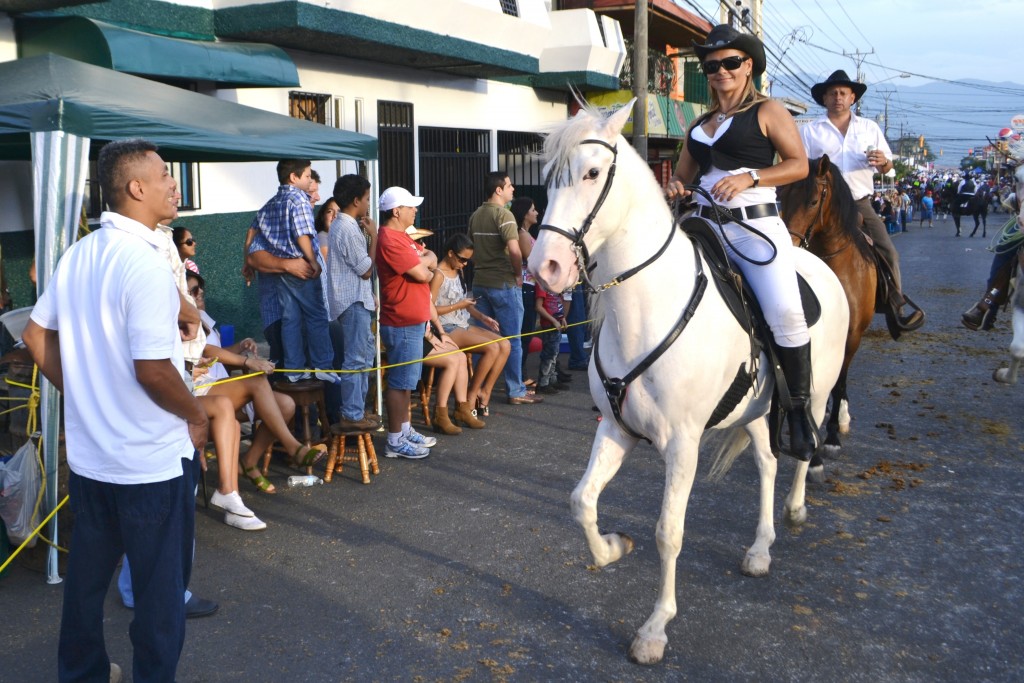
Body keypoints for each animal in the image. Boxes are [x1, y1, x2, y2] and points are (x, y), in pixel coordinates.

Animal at [528, 104, 847, 663]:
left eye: (592, 173)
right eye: (548, 179)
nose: (544, 268)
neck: (646, 308)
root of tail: (818, 264)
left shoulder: (682, 444)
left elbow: (669, 532)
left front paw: (655, 628)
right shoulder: (616, 428)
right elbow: (581, 501)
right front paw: (612, 548)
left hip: (813, 395)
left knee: (801, 451)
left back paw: (795, 508)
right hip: (756, 410)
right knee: (766, 464)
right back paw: (760, 549)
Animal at [778, 154, 876, 481]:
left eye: (812, 201)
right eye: (780, 195)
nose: (789, 245)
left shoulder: (851, 335)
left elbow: (838, 383)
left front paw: (829, 440)